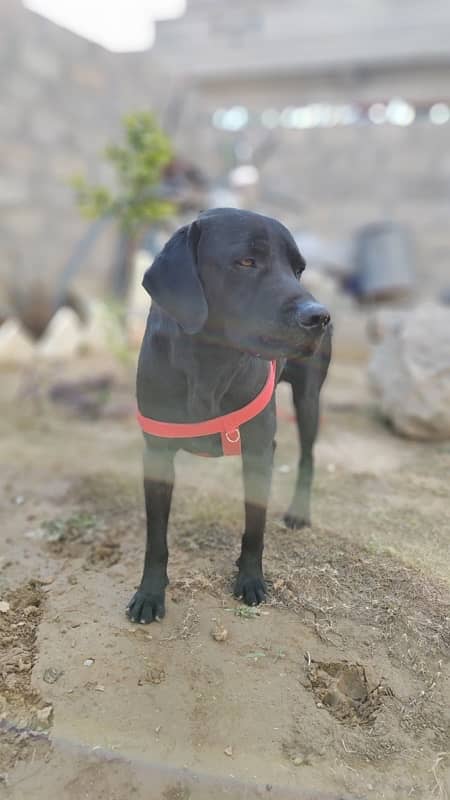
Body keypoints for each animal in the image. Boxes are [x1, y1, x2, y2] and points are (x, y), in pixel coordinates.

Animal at [126, 209, 330, 620]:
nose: (319, 317)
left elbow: (255, 526)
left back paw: (299, 511)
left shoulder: (258, 452)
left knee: (307, 456)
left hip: (308, 400)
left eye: (298, 270)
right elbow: (156, 538)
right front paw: (150, 593)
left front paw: (250, 579)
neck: (209, 361)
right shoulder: (156, 454)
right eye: (247, 262)